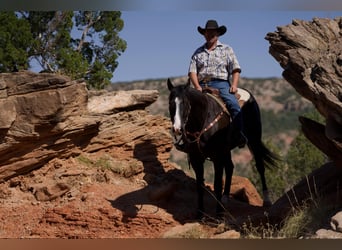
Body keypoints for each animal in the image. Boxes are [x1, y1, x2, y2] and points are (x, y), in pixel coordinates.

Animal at [167, 78, 280, 217]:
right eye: (170, 103)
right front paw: (200, 213)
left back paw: (267, 200)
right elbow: (200, 185)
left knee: (260, 166)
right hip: (227, 150)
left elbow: (217, 184)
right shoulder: (196, 158)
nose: (177, 129)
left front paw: (219, 213)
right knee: (230, 167)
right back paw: (225, 198)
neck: (203, 119)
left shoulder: (217, 156)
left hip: (254, 139)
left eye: (186, 103)